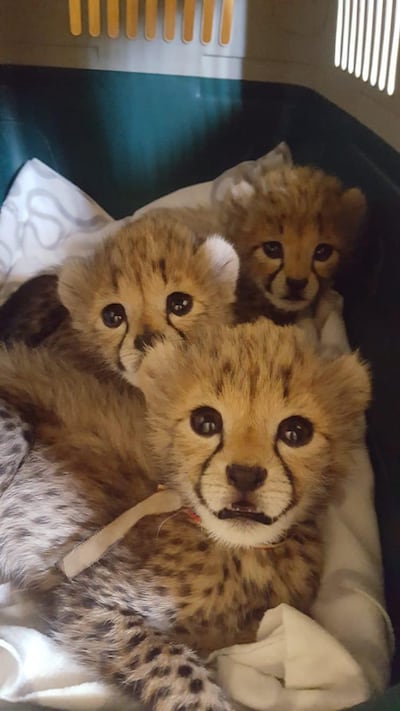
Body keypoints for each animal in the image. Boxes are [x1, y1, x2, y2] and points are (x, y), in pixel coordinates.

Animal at [0, 318, 370, 710]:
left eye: (296, 432)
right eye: (205, 422)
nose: (245, 475)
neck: (238, 551)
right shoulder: (90, 602)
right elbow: (176, 668)